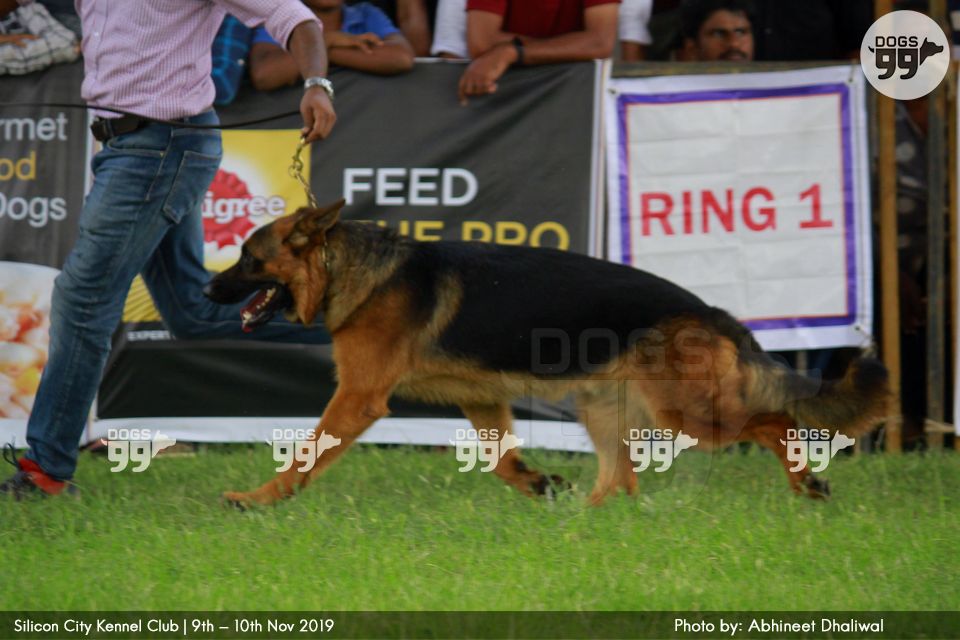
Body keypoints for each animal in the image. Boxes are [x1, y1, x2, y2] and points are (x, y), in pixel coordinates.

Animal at [204, 199, 891, 508]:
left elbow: (305, 455)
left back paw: (807, 482)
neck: (352, 266)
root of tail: (711, 311)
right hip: (605, 410)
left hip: (689, 415)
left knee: (775, 422)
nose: (208, 291)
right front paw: (537, 482)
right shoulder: (483, 400)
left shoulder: (358, 398)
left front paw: (259, 500)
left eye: (247, 258)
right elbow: (502, 458)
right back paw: (583, 519)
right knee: (622, 480)